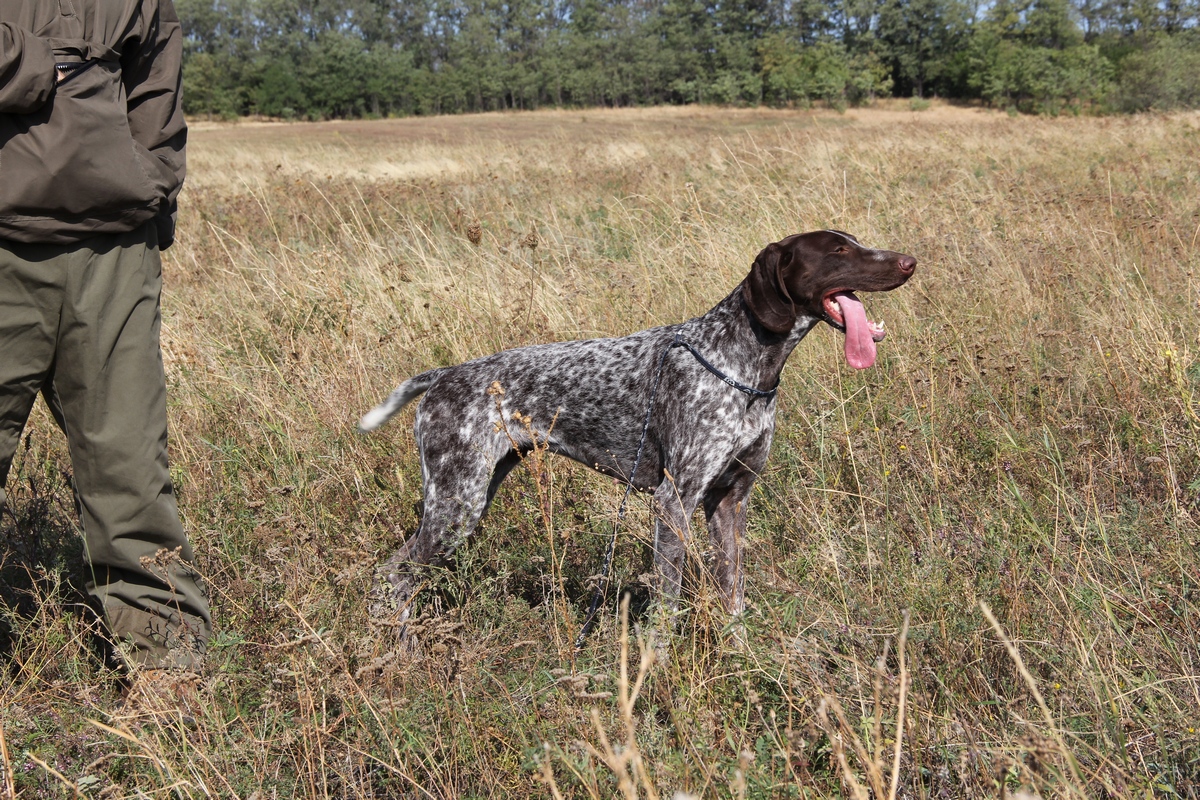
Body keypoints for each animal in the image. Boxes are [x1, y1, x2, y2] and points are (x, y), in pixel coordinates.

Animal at [360, 227, 912, 628]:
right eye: (838, 250)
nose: (909, 261)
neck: (742, 363)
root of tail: (443, 376)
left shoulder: (730, 500)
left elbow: (732, 593)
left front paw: (738, 656)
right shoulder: (674, 501)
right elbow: (667, 605)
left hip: (470, 493)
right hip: (457, 502)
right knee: (393, 577)